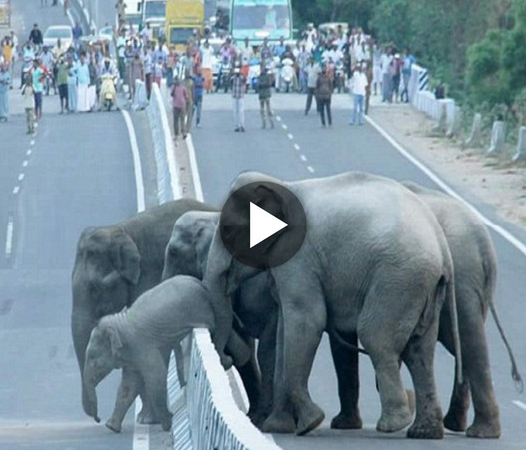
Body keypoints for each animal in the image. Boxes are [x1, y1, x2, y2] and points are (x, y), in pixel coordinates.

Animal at [72, 200, 217, 426]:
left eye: (95, 289)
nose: (97, 418)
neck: (122, 230)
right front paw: (146, 418)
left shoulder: (149, 275)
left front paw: (148, 420)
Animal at [83, 274, 253, 432]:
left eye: (93, 359)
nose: (98, 419)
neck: (120, 324)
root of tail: (199, 282)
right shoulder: (133, 355)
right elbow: (128, 386)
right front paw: (112, 427)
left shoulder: (142, 346)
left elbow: (156, 377)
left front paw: (167, 424)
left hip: (202, 311)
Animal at [202, 171, 462, 438]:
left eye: (229, 231)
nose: (225, 360)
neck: (283, 186)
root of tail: (442, 246)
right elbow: (285, 332)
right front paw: (278, 427)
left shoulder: (298, 255)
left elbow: (307, 321)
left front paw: (311, 422)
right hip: (423, 285)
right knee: (420, 351)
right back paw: (424, 432)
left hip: (398, 279)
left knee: (376, 337)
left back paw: (393, 425)